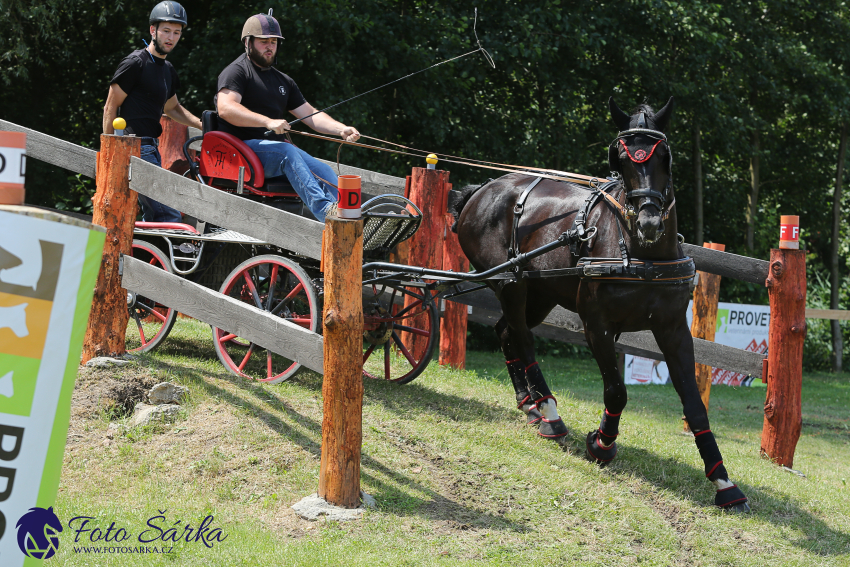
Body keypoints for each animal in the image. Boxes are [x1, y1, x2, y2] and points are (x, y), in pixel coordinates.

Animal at [450, 98, 748, 516]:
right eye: (620, 158)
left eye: (665, 157)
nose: (649, 222)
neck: (638, 253)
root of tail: (481, 190)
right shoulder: (597, 325)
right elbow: (617, 391)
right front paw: (602, 445)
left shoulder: (673, 329)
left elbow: (694, 403)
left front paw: (723, 481)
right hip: (509, 283)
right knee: (522, 338)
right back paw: (550, 414)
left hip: (540, 292)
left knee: (507, 332)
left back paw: (530, 405)